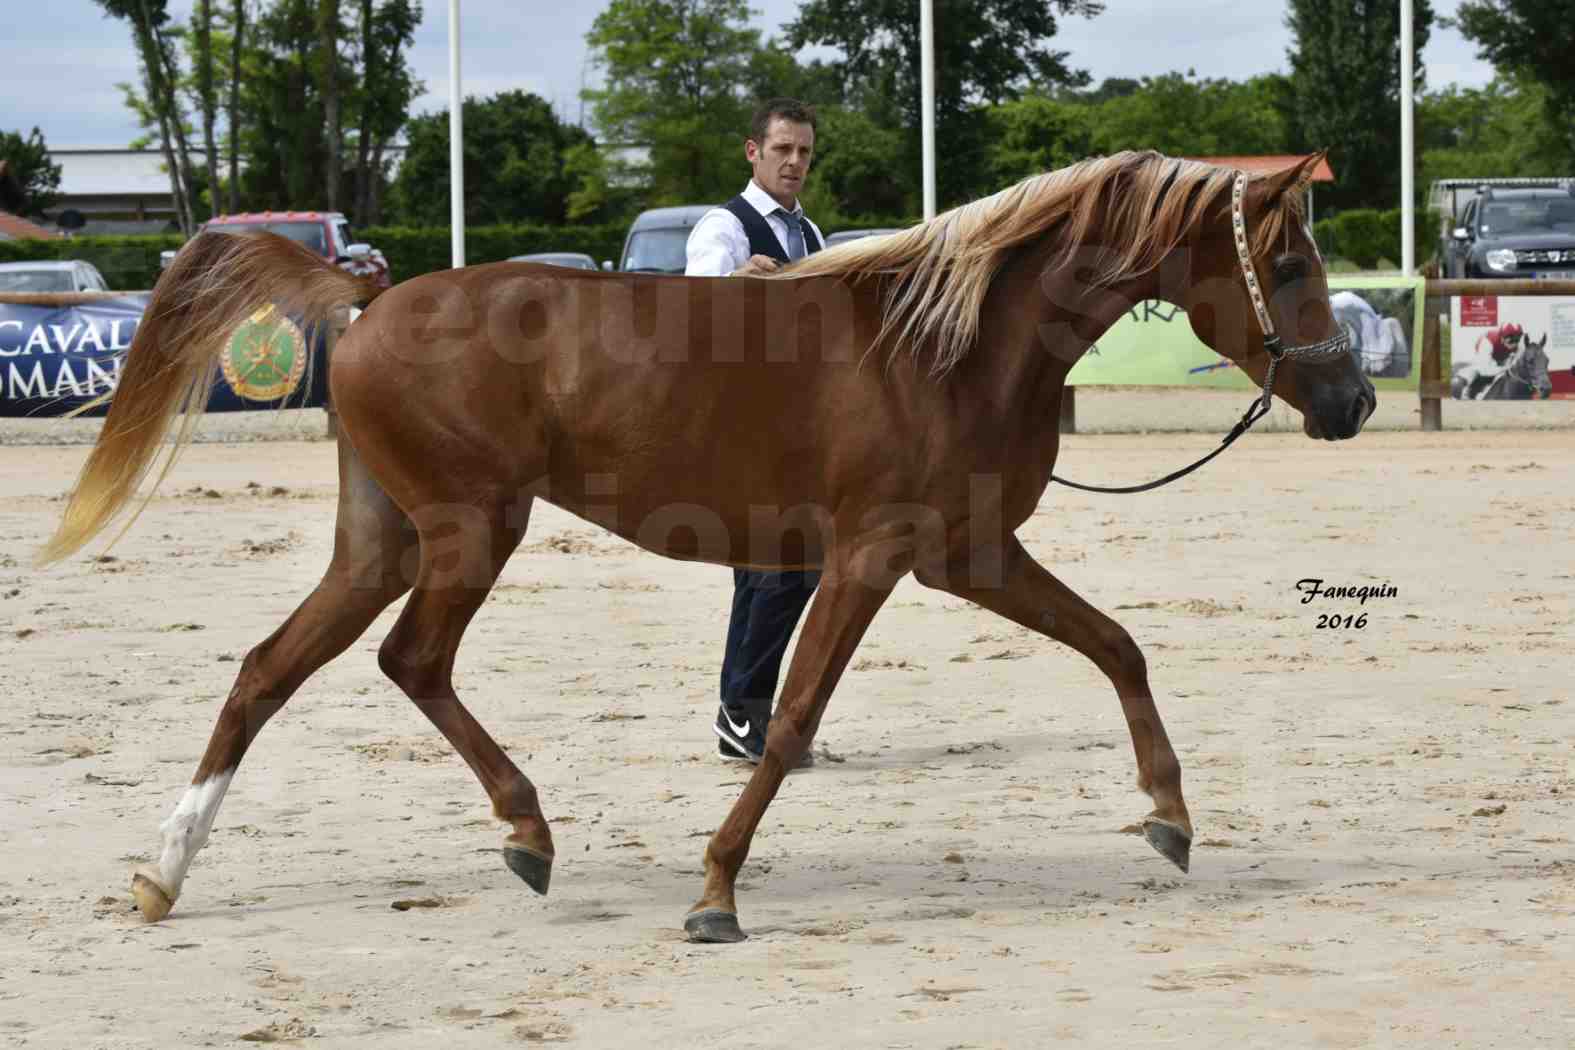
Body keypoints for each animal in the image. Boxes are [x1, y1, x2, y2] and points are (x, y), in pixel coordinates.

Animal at [37, 149, 1367, 944]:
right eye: (1287, 260)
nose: (1350, 399)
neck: (949, 344)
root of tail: (364, 298)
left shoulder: (971, 553)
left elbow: (1118, 647)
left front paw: (1171, 818)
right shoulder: (874, 556)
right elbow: (789, 716)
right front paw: (718, 890)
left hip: (380, 541)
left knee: (268, 670)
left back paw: (165, 874)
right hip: (470, 530)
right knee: (409, 664)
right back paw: (526, 835)